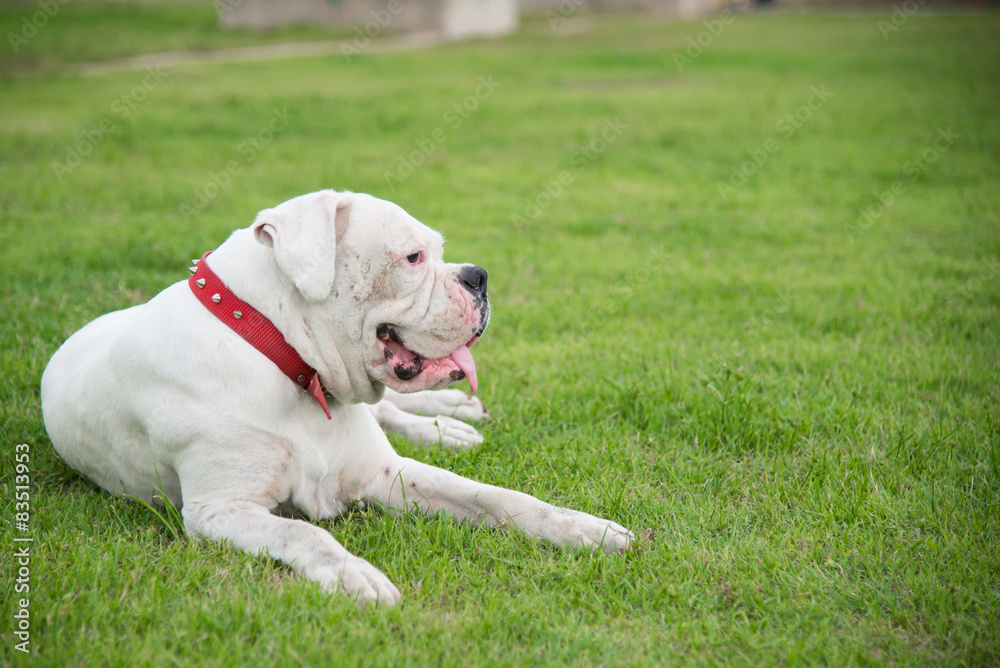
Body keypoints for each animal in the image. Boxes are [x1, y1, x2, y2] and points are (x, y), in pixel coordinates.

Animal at [43, 189, 632, 604]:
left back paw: (448, 420)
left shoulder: (386, 472)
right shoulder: (220, 511)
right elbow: (306, 536)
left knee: (391, 409)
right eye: (414, 258)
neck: (283, 358)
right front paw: (356, 577)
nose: (478, 277)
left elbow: (496, 497)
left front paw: (587, 529)